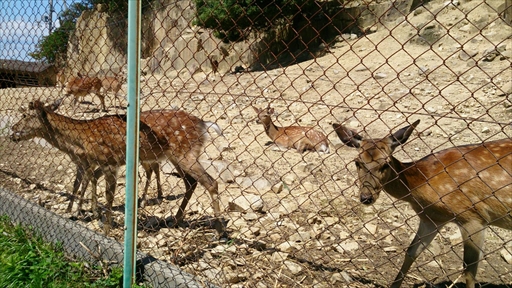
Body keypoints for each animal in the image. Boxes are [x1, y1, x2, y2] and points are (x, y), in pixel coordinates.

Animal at [10, 99, 225, 236]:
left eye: (25, 114)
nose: (12, 129)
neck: (80, 141)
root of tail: (203, 124)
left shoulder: (108, 162)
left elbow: (107, 195)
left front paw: (104, 227)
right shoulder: (97, 163)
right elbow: (89, 184)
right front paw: (86, 214)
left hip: (185, 152)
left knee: (210, 182)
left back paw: (220, 232)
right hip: (176, 156)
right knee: (191, 182)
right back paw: (176, 220)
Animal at [334, 119, 510, 288]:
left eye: (386, 163)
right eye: (357, 162)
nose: (366, 197)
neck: (422, 185)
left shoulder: (473, 216)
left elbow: (469, 271)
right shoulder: (431, 218)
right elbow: (412, 251)